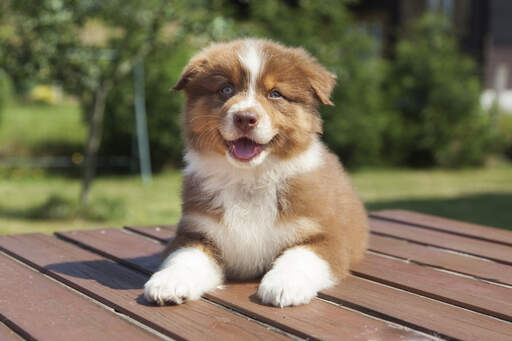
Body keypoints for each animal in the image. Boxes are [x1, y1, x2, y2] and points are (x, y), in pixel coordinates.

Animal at [144, 38, 368, 306]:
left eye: (275, 94)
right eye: (226, 90)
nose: (245, 118)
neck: (249, 179)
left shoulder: (325, 236)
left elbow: (300, 257)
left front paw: (284, 285)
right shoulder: (197, 232)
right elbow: (183, 257)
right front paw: (168, 282)